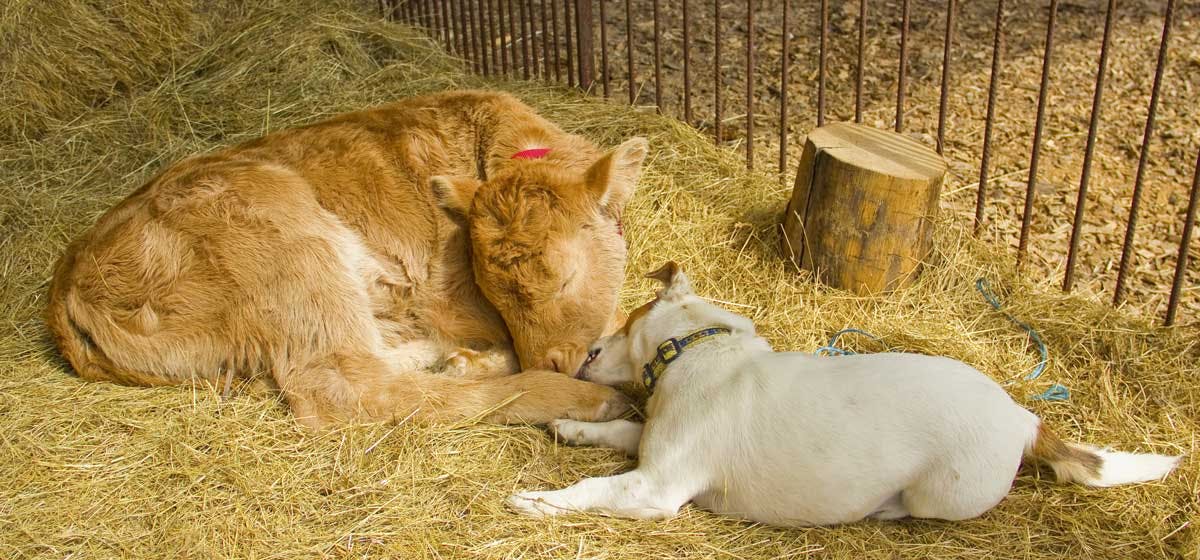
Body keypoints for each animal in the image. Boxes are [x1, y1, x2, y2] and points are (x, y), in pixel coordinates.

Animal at [506, 262, 1180, 525]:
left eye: (626, 321)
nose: (588, 352)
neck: (700, 346)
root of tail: (1022, 419)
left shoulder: (655, 488)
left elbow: (590, 489)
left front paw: (537, 499)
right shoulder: (656, 448)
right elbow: (624, 430)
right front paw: (575, 427)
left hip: (938, 493)